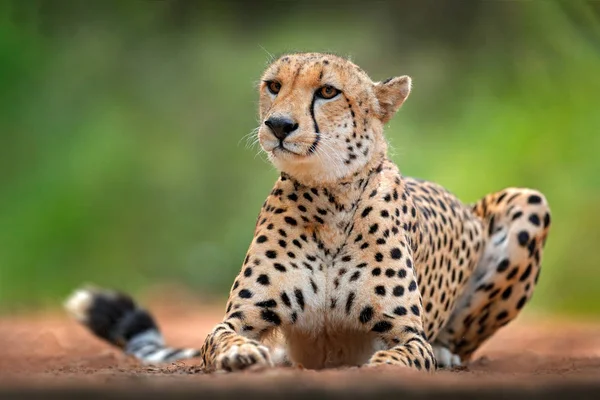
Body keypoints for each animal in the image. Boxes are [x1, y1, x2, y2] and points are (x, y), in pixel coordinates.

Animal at [67, 52, 552, 372]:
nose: (278, 125)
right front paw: (240, 354)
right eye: (274, 86)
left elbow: (404, 354)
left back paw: (451, 354)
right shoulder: (240, 318)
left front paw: (385, 367)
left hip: (531, 201)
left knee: (459, 339)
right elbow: (220, 337)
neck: (329, 201)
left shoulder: (407, 333)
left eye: (328, 92)